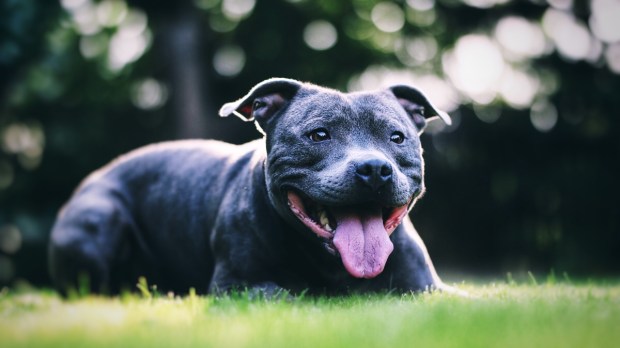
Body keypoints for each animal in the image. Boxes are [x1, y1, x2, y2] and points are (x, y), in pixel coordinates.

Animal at [48, 77, 452, 294]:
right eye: (318, 134)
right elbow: (288, 294)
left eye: (397, 137)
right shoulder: (240, 287)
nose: (374, 168)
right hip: (100, 218)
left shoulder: (429, 288)